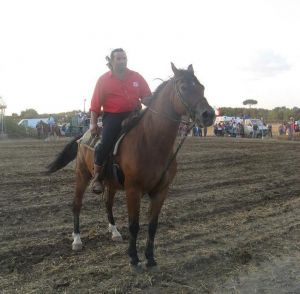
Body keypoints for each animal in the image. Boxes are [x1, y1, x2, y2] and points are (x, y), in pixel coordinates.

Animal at [46, 63, 216, 268]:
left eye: (202, 87)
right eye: (183, 87)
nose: (209, 115)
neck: (151, 142)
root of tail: (84, 135)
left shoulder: (161, 191)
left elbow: (152, 225)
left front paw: (150, 257)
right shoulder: (133, 189)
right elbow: (134, 225)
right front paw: (134, 258)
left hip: (110, 183)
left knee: (107, 203)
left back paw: (114, 232)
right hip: (82, 175)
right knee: (76, 204)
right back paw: (77, 240)